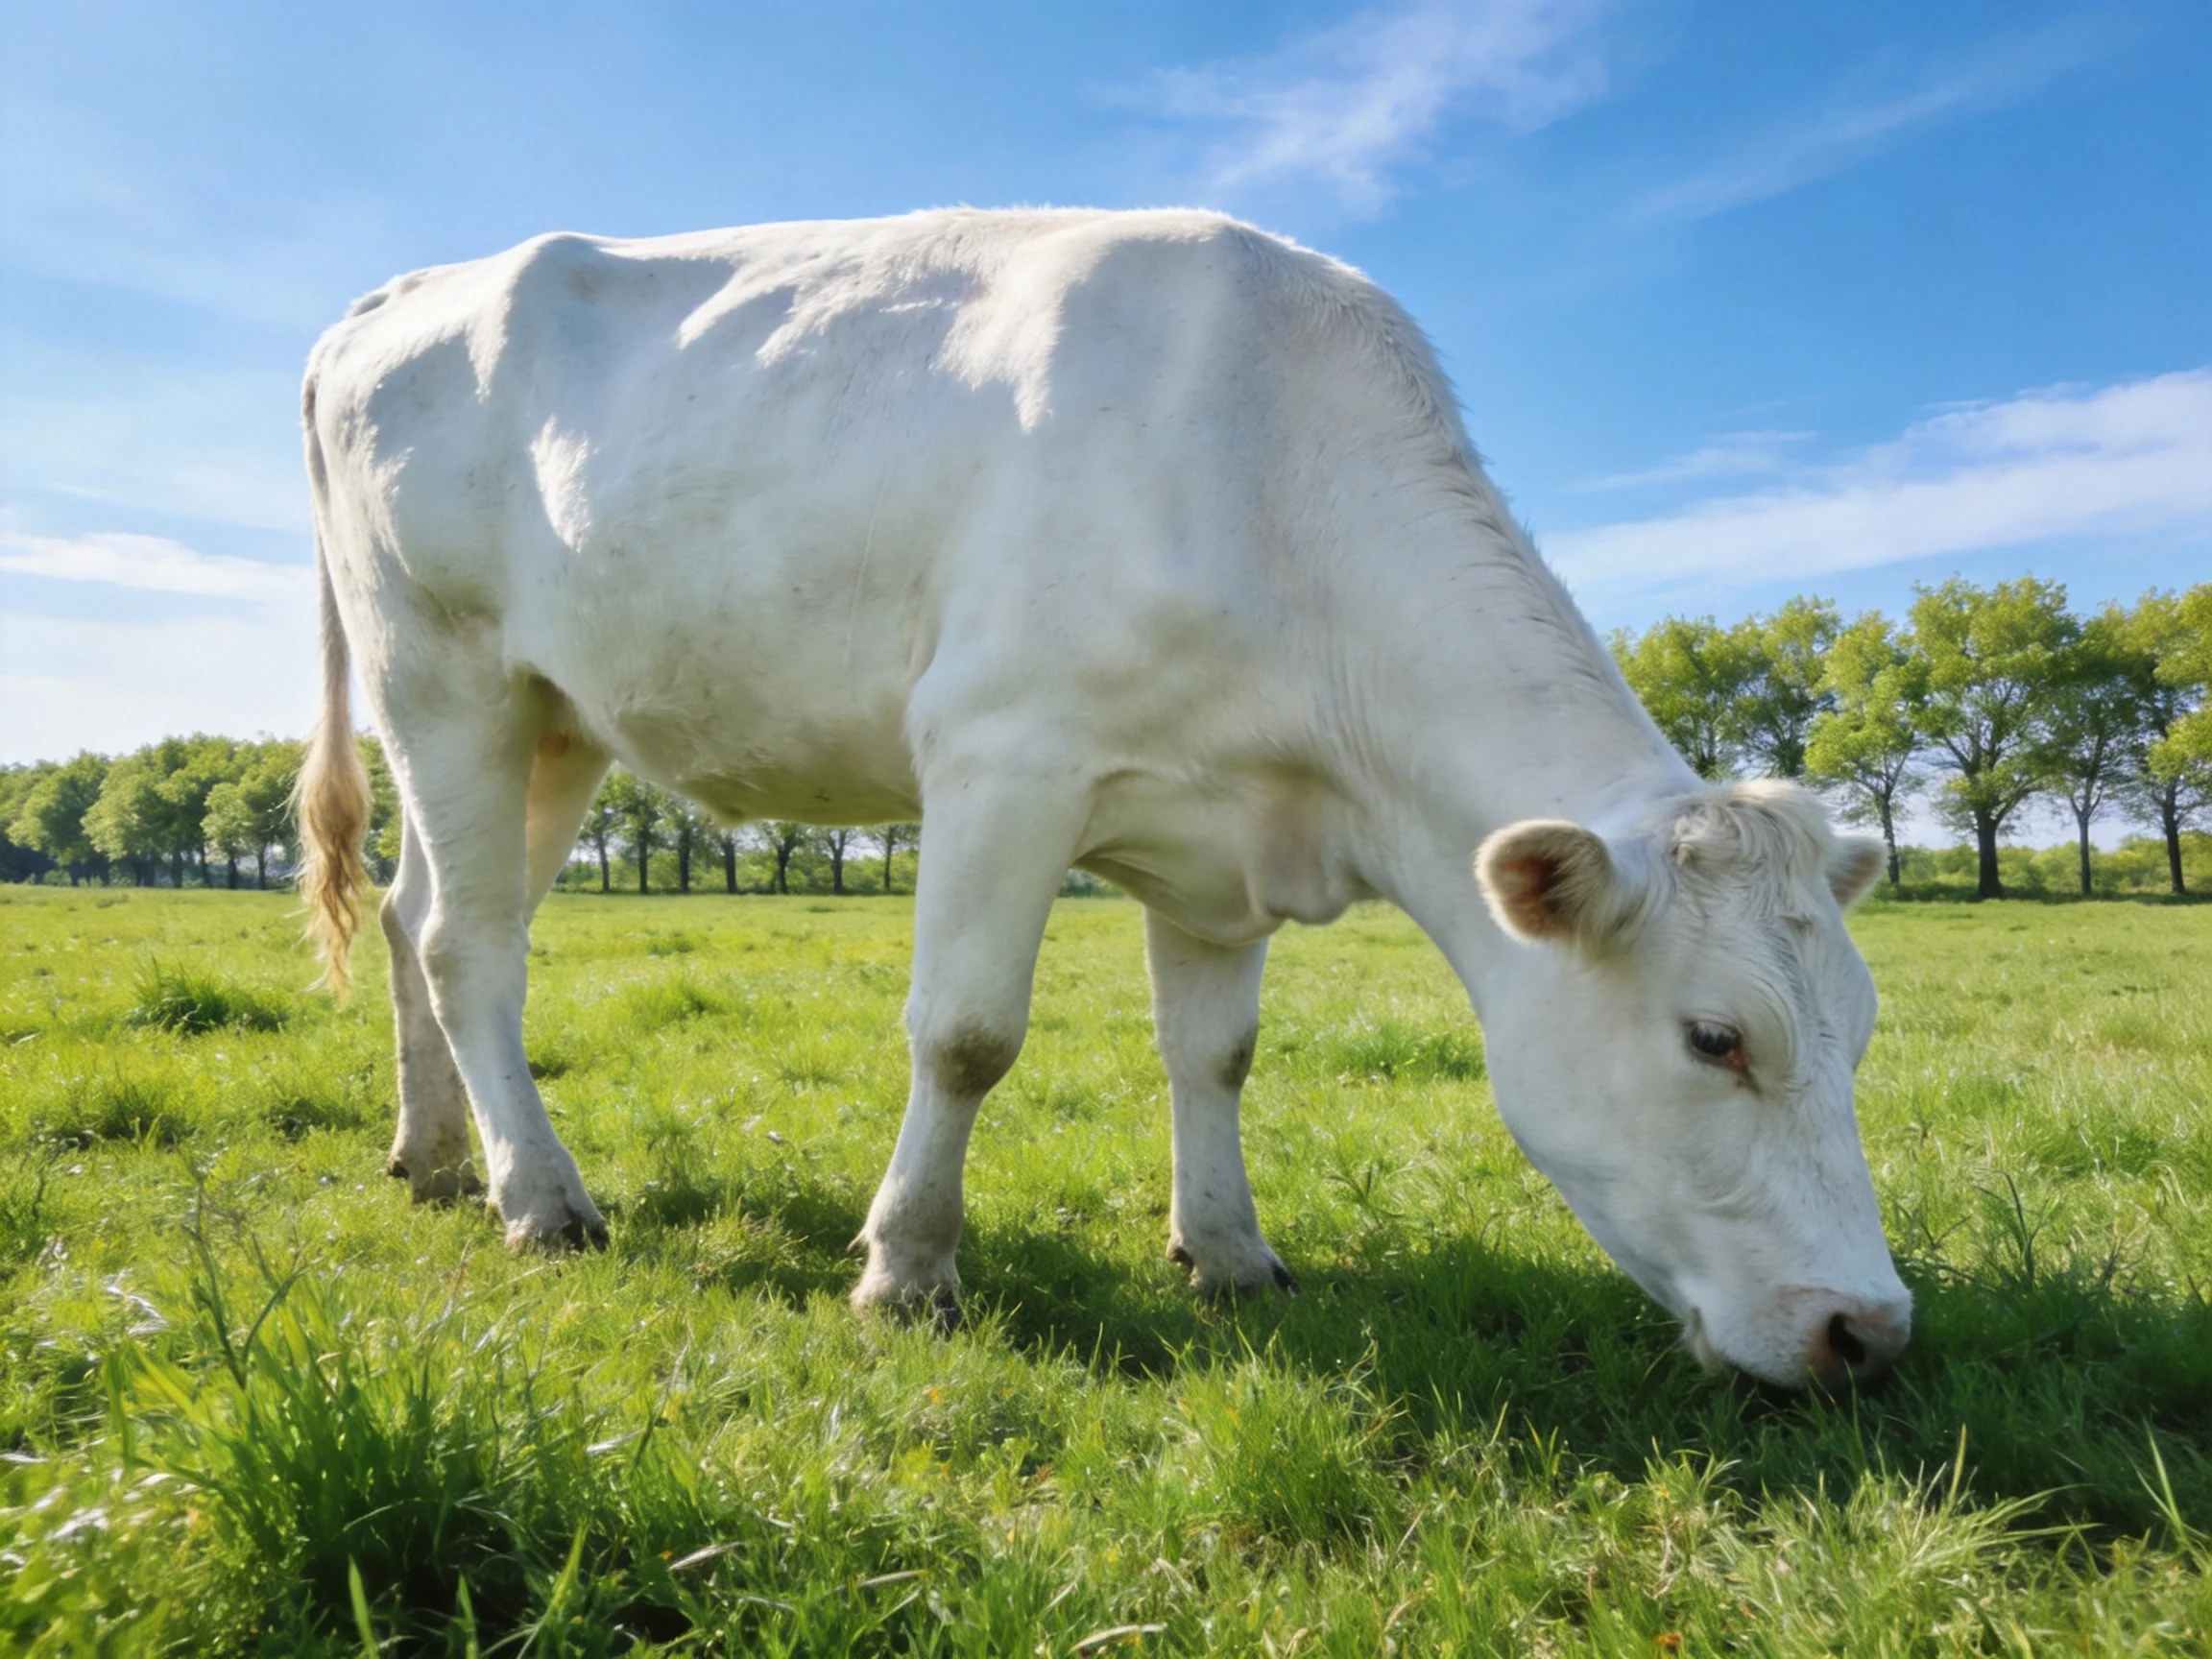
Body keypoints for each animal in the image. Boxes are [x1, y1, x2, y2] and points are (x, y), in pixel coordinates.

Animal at [295, 207, 1910, 1391]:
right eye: (1715, 1039)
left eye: (1862, 1032)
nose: (1872, 1331)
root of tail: (389, 295)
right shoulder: (999, 755)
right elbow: (965, 1037)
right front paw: (907, 1270)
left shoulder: (1223, 843)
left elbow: (1218, 1056)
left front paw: (1231, 1254)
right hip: (443, 673)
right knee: (468, 943)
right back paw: (539, 1198)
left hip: (559, 719)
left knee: (419, 910)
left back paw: (434, 1156)